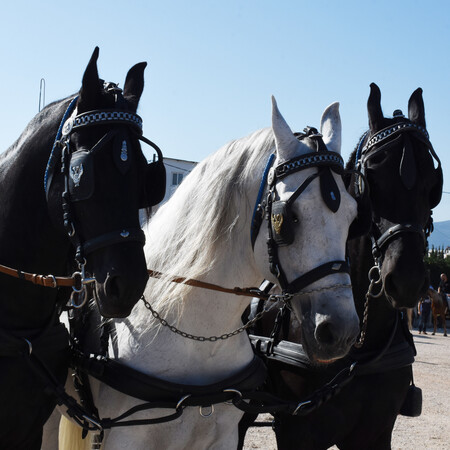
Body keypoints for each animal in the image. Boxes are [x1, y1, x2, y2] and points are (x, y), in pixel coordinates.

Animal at [55, 98, 358, 450]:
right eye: (287, 217)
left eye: (353, 215)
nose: (341, 331)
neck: (196, 338)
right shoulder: (124, 437)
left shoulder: (224, 436)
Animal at [239, 82, 442, 448]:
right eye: (372, 176)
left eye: (434, 183)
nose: (406, 278)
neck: (360, 352)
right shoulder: (297, 433)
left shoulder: (375, 433)